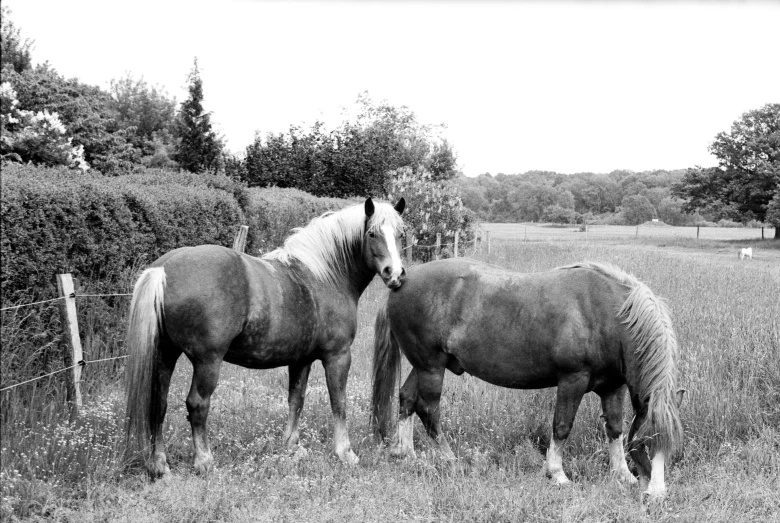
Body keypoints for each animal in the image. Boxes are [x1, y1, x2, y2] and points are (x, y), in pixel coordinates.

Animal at [124, 199, 406, 482]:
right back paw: (204, 462)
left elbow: (296, 400)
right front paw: (345, 453)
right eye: (372, 234)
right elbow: (339, 401)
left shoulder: (301, 360)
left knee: (158, 403)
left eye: (400, 234)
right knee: (197, 405)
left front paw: (292, 446)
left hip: (165, 354)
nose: (395, 274)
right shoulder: (338, 356)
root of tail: (164, 269)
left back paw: (159, 466)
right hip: (207, 362)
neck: (324, 275)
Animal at [372, 258, 684, 504]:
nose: (656, 497)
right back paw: (450, 460)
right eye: (645, 443)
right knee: (429, 411)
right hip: (431, 368)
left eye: (669, 446)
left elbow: (615, 429)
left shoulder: (612, 387)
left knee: (407, 399)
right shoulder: (572, 381)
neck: (606, 313)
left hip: (423, 366)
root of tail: (402, 281)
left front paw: (623, 475)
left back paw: (406, 453)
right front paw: (557, 475)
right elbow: (562, 427)